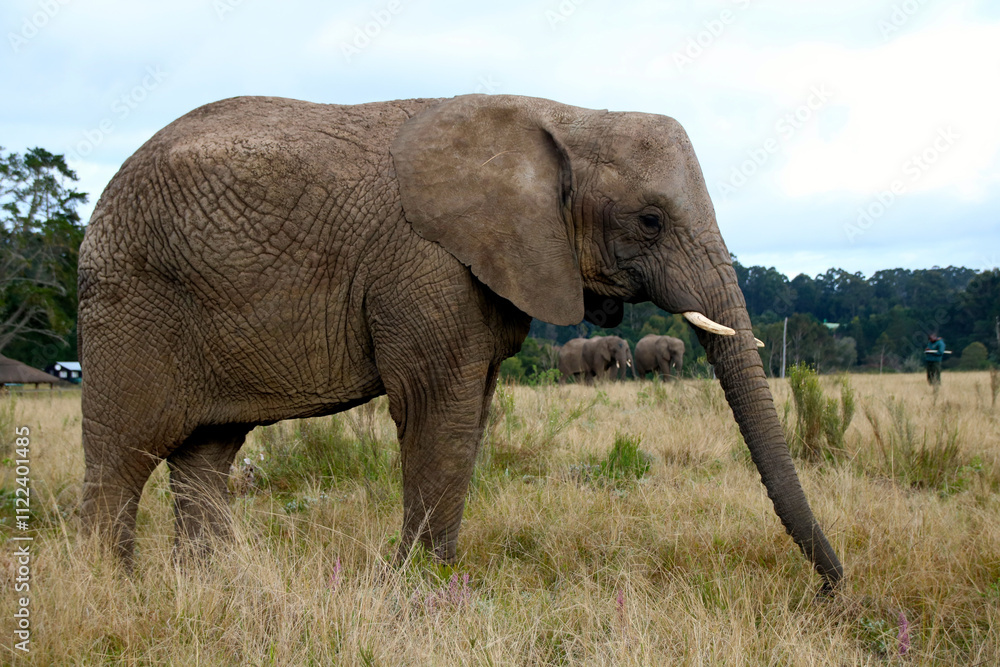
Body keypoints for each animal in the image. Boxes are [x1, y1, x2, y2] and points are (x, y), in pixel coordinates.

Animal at [78, 94, 842, 591]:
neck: (565, 116)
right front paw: (413, 591)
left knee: (205, 456)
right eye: (650, 220)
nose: (830, 587)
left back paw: (213, 590)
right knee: (123, 455)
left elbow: (470, 412)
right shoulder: (428, 264)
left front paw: (429, 583)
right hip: (129, 301)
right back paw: (117, 595)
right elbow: (434, 407)